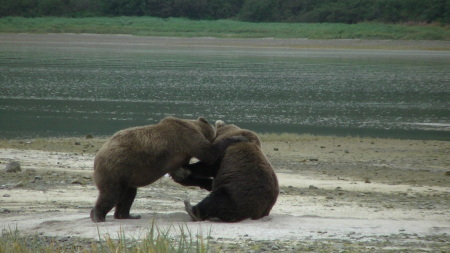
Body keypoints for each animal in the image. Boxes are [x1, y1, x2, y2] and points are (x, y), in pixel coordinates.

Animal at [89, 115, 241, 222]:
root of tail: (98, 156)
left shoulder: (179, 157)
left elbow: (182, 176)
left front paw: (208, 183)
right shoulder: (187, 138)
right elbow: (210, 154)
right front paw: (236, 138)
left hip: (129, 174)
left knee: (129, 194)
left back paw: (128, 215)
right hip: (117, 167)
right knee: (111, 193)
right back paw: (98, 215)